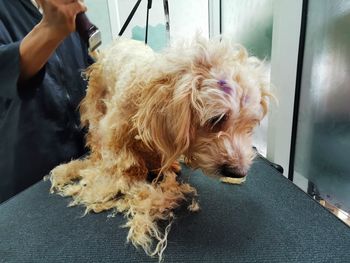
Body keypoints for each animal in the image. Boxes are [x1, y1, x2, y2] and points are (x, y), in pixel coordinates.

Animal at [47, 36, 270, 260]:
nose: (238, 172)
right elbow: (122, 160)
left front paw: (164, 166)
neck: (144, 93)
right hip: (96, 100)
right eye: (217, 119)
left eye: (250, 124)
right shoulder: (115, 129)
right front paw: (128, 177)